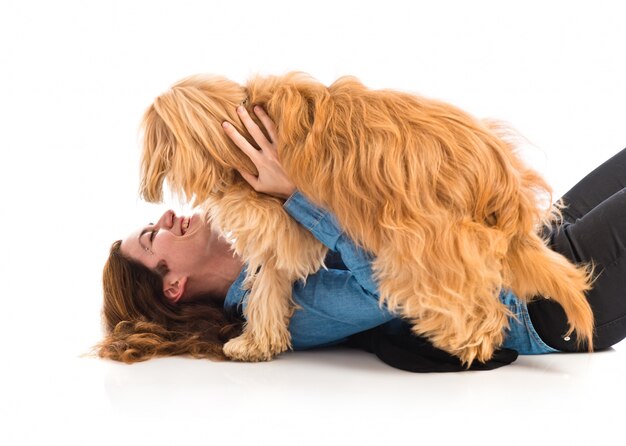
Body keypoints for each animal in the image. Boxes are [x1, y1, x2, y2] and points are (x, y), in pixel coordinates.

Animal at [139, 72, 592, 366]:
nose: (159, 207)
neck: (241, 125)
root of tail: (504, 184)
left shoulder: (277, 220)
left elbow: (267, 277)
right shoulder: (281, 235)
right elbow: (267, 286)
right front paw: (257, 344)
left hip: (430, 241)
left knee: (472, 301)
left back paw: (468, 344)